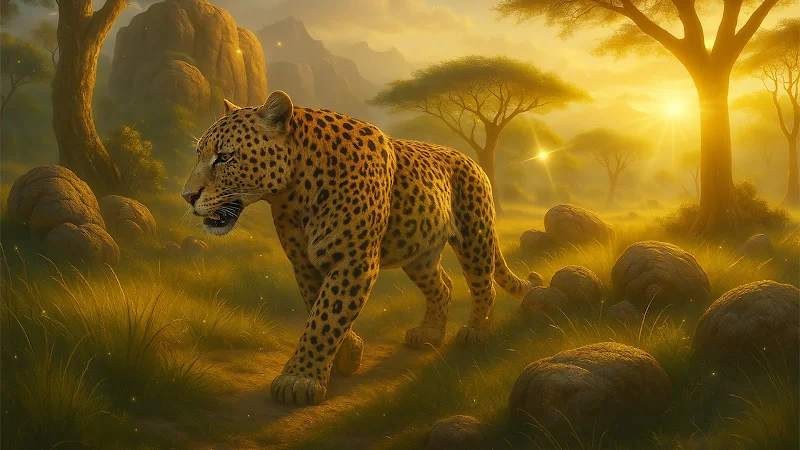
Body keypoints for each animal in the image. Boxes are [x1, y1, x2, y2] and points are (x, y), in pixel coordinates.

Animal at [181, 90, 543, 406]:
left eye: (224, 157)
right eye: (198, 154)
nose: (187, 196)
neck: (294, 195)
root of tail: (472, 160)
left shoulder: (353, 260)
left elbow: (326, 316)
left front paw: (299, 380)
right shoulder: (304, 263)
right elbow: (319, 308)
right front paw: (349, 354)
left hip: (474, 235)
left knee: (483, 284)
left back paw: (476, 332)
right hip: (419, 254)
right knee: (443, 285)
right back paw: (428, 332)